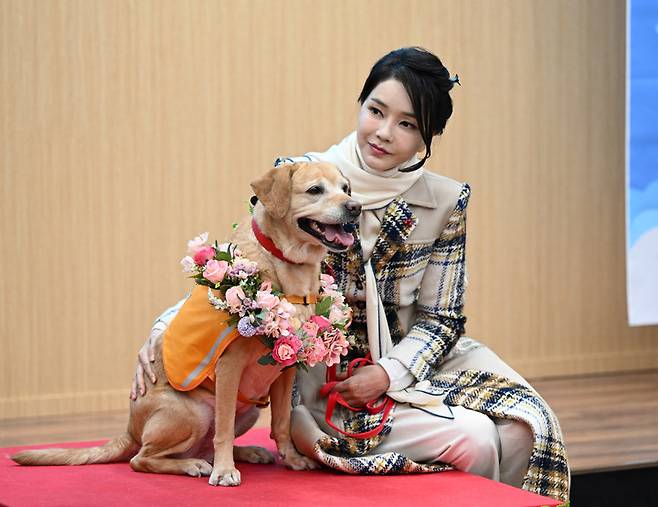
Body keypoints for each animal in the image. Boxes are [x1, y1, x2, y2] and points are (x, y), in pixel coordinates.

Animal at [11, 163, 358, 488]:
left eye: (346, 188)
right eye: (315, 190)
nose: (355, 208)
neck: (286, 267)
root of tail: (129, 431)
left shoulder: (286, 369)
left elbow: (282, 423)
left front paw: (292, 459)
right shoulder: (229, 366)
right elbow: (223, 430)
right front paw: (224, 471)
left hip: (248, 410)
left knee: (205, 444)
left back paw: (244, 453)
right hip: (192, 413)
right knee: (143, 459)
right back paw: (195, 465)